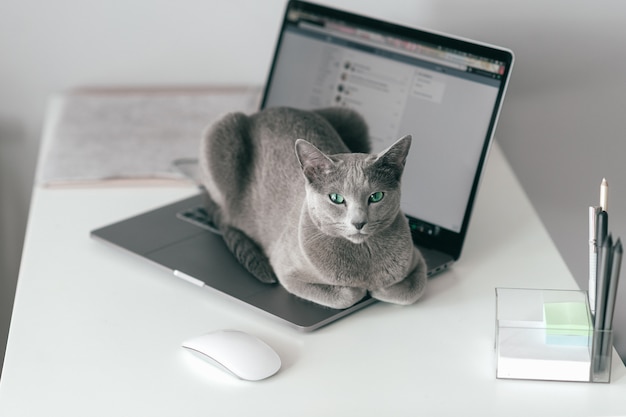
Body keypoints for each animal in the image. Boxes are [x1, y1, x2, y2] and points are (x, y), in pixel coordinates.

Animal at [200, 106, 424, 308]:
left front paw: (379, 287)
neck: (363, 254)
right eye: (336, 198)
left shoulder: (417, 259)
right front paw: (363, 290)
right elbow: (346, 296)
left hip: (352, 117)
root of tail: (264, 111)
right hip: (220, 132)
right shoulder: (286, 270)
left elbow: (410, 292)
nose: (359, 222)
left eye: (376, 196)